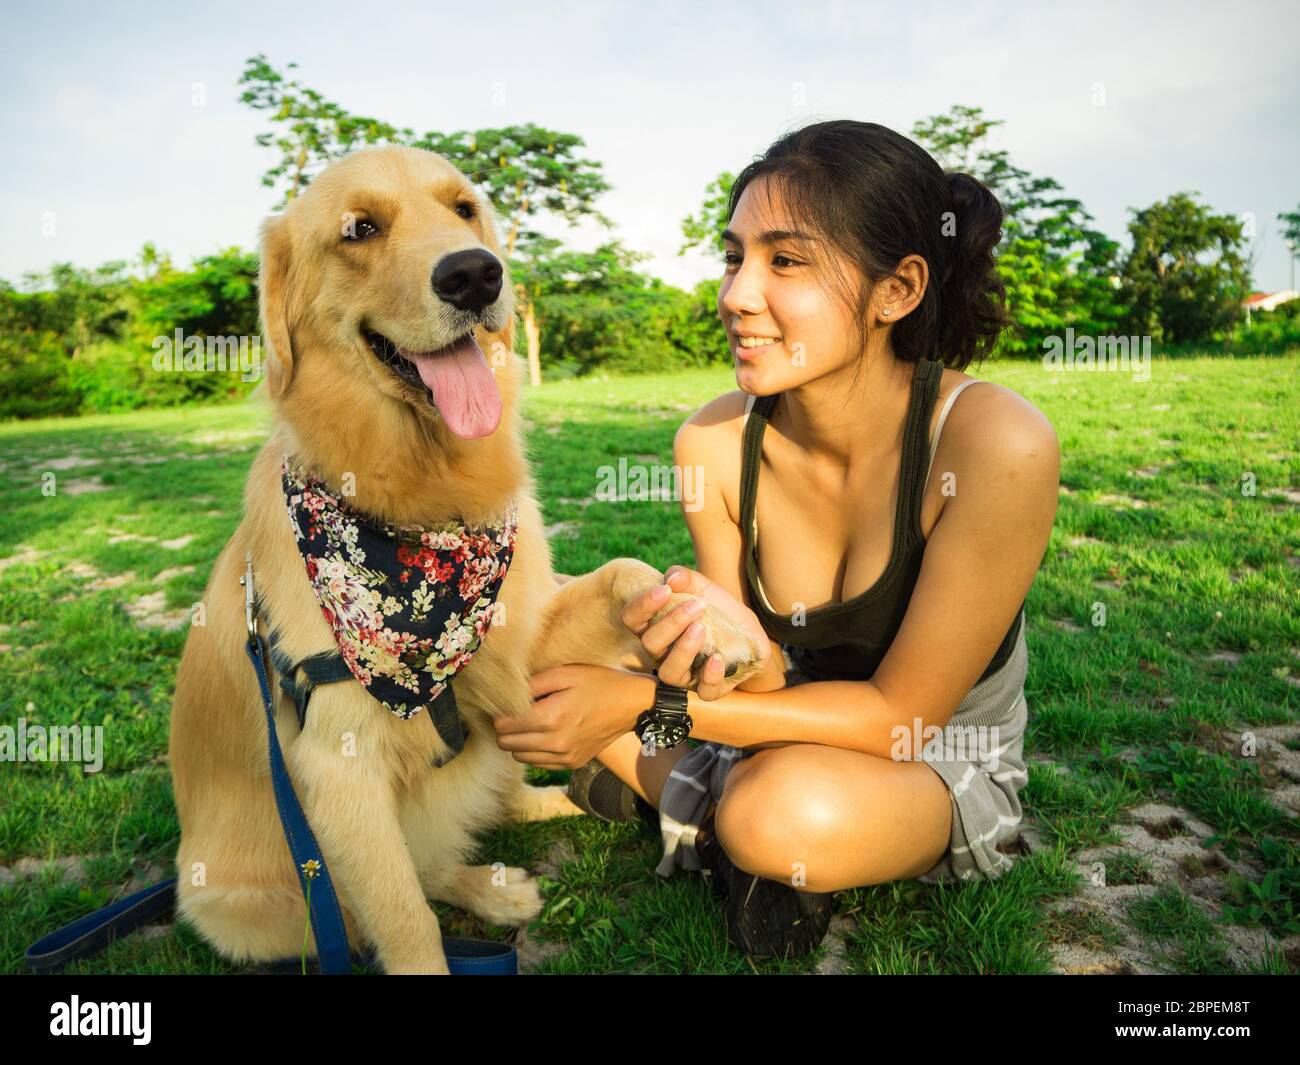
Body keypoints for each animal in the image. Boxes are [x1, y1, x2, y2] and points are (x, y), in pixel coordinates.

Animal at [169, 145, 764, 977]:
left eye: (463, 208)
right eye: (359, 228)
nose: (476, 274)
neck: (425, 506)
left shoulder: (506, 638)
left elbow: (624, 570)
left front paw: (705, 624)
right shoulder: (338, 765)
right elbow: (407, 920)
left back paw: (548, 810)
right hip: (253, 904)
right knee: (402, 885)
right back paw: (492, 885)